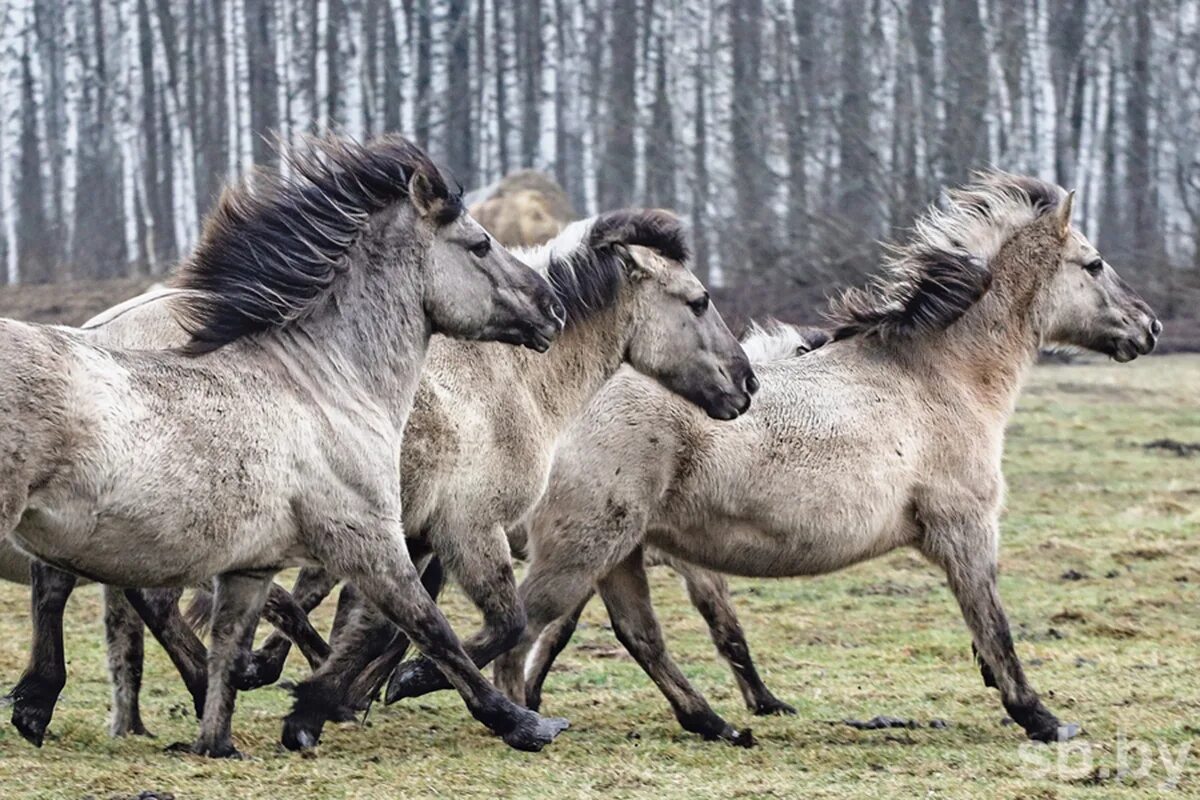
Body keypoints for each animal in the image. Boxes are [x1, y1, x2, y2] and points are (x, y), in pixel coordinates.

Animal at [0, 136, 573, 758]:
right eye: (480, 244)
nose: (552, 309)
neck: (326, 385)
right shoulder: (369, 539)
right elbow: (429, 626)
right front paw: (521, 723)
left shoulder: (253, 566)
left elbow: (231, 648)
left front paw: (220, 742)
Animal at [492, 173, 1156, 743]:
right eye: (1094, 263)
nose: (1148, 327)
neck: (940, 377)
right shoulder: (965, 529)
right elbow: (993, 622)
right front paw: (1041, 719)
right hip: (586, 547)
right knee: (525, 629)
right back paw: (523, 720)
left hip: (618, 552)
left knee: (632, 635)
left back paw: (714, 725)